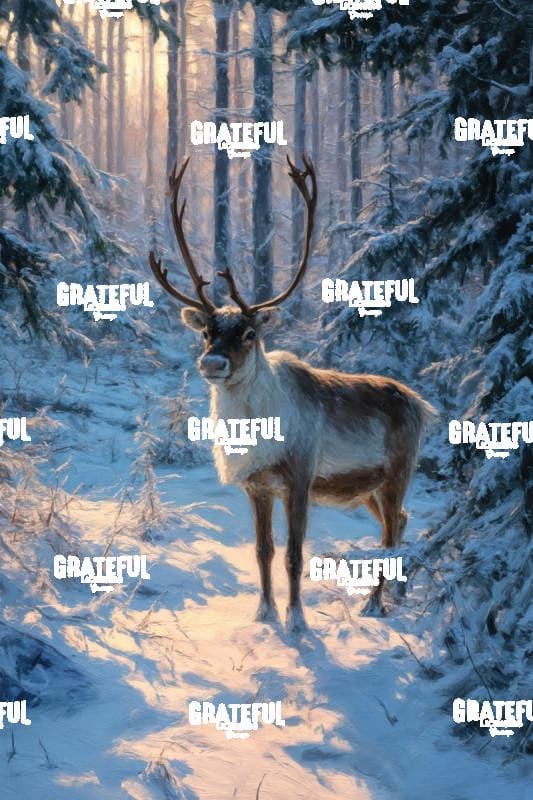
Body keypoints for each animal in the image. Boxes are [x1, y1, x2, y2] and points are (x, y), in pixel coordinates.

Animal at [149, 156, 435, 632]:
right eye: (207, 332)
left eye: (249, 333)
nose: (212, 363)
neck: (256, 432)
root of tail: (421, 403)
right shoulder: (257, 486)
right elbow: (263, 551)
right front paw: (264, 612)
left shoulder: (300, 478)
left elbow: (295, 554)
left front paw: (297, 620)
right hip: (370, 488)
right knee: (399, 523)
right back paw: (397, 594)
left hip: (399, 472)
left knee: (389, 535)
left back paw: (374, 604)